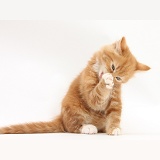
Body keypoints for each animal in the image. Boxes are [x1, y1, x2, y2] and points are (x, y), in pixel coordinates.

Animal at [0, 37, 150, 135]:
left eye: (119, 78)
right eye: (113, 67)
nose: (112, 78)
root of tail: (61, 118)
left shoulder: (115, 99)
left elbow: (115, 114)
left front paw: (114, 128)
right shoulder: (89, 90)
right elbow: (96, 96)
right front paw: (105, 81)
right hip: (73, 108)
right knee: (71, 127)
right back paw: (87, 128)